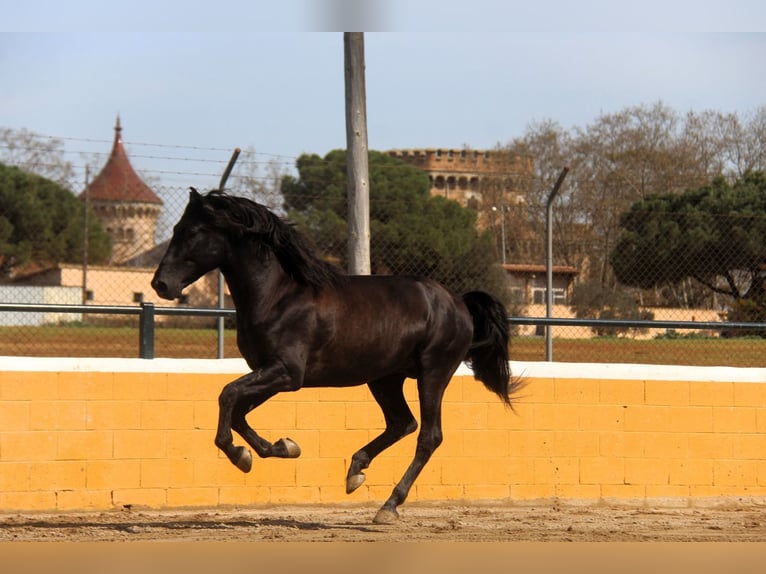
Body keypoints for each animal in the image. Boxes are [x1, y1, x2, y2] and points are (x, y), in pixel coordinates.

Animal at [151, 188, 522, 524]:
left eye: (192, 231)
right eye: (176, 228)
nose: (161, 285)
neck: (277, 296)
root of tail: (459, 302)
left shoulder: (287, 373)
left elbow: (227, 396)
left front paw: (241, 455)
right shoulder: (269, 373)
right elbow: (239, 410)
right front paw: (282, 447)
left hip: (433, 374)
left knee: (428, 436)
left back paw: (388, 506)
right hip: (385, 379)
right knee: (402, 423)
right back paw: (355, 471)